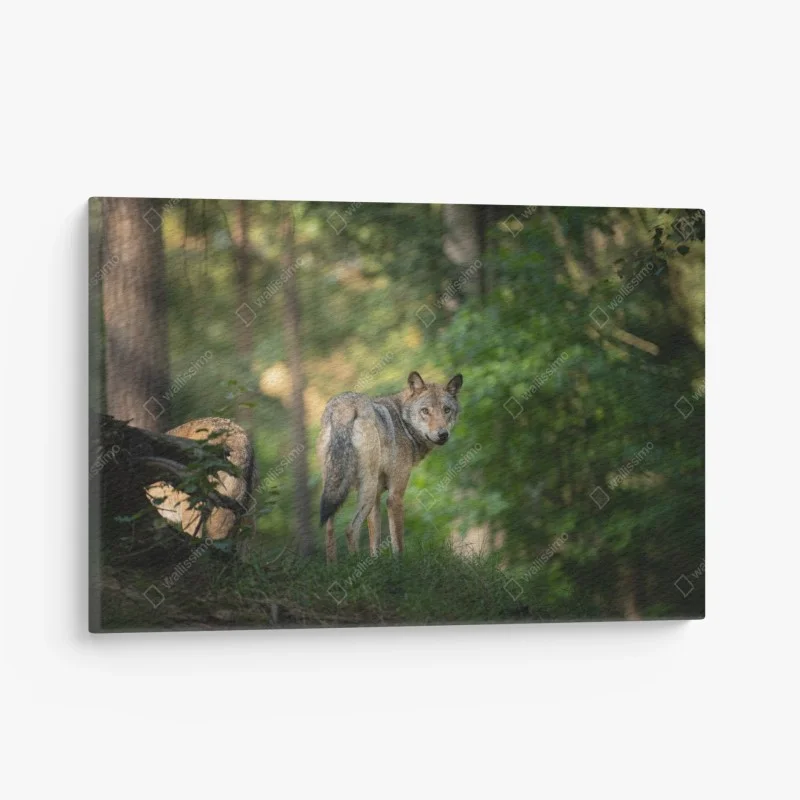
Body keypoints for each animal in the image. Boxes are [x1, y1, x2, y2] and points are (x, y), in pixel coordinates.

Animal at [317, 371, 463, 562]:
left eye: (446, 410)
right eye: (425, 411)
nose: (442, 434)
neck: (403, 423)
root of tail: (344, 406)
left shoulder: (377, 498)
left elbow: (375, 542)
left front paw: (374, 563)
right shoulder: (394, 496)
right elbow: (397, 542)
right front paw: (399, 565)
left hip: (335, 489)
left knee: (329, 530)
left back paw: (333, 566)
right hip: (366, 490)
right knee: (350, 529)